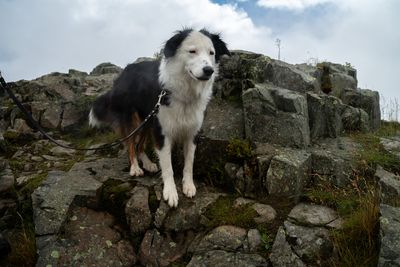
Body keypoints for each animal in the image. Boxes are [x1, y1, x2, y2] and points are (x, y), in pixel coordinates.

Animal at [89, 29, 230, 209]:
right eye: (192, 51)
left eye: (211, 53)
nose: (208, 70)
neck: (184, 90)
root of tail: (124, 71)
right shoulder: (162, 132)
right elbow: (168, 166)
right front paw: (170, 192)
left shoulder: (192, 132)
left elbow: (189, 162)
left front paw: (188, 185)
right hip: (134, 119)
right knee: (130, 143)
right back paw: (135, 167)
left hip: (148, 121)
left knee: (140, 145)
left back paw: (148, 163)